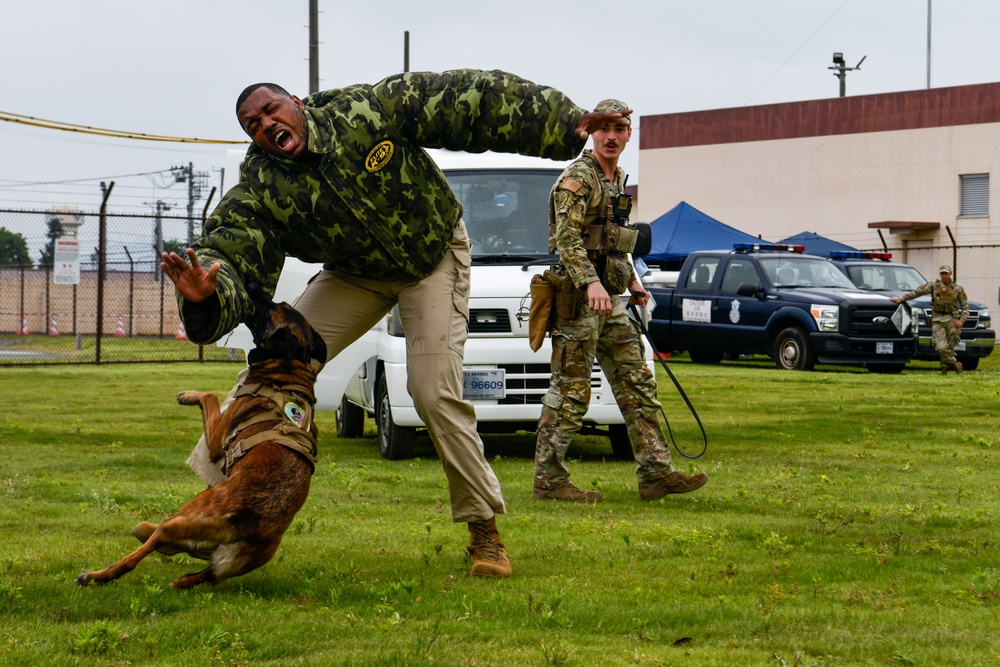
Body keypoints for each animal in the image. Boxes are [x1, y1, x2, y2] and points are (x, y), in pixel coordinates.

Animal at [79, 290, 328, 592]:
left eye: (271, 309)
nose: (255, 290)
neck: (289, 369)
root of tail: (246, 520)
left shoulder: (217, 437)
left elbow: (209, 396)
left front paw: (187, 394)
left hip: (184, 516)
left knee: (142, 551)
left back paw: (99, 573)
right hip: (236, 558)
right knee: (205, 573)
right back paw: (180, 579)